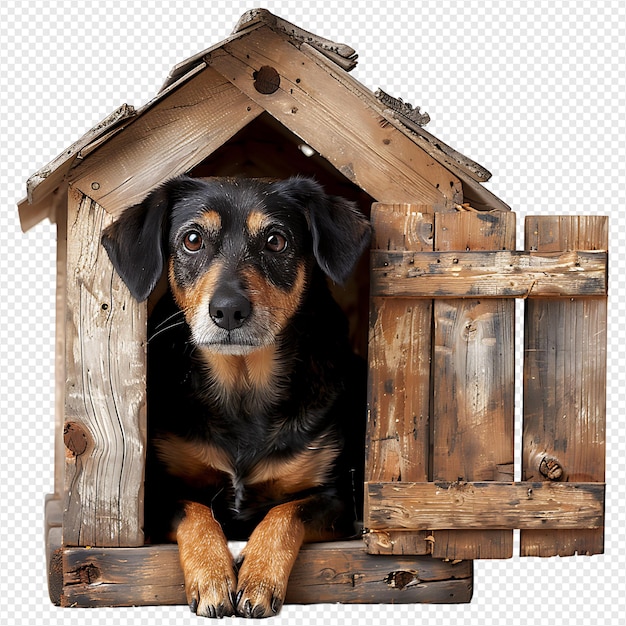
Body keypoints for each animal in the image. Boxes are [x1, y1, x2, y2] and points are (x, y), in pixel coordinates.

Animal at [102, 174, 370, 616]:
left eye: (276, 241)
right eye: (192, 239)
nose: (228, 310)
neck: (242, 387)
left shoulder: (337, 500)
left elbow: (286, 512)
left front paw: (259, 578)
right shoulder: (154, 493)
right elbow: (195, 510)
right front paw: (213, 578)